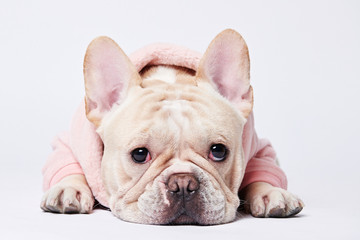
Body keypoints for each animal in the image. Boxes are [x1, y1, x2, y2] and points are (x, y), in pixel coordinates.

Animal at [40, 29, 304, 224]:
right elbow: (68, 165)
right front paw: (68, 189)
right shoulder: (67, 143)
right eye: (139, 154)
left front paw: (270, 192)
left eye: (219, 151)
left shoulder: (260, 148)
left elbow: (264, 170)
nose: (183, 183)